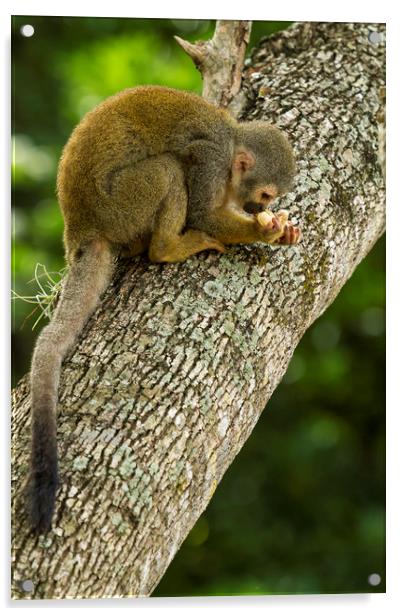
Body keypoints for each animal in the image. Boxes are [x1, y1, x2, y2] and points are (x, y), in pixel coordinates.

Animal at [25, 84, 300, 532]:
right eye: (264, 196)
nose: (260, 211)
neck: (231, 139)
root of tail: (79, 227)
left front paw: (282, 230)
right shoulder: (211, 159)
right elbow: (203, 210)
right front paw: (267, 232)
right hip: (120, 204)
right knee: (169, 169)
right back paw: (167, 247)